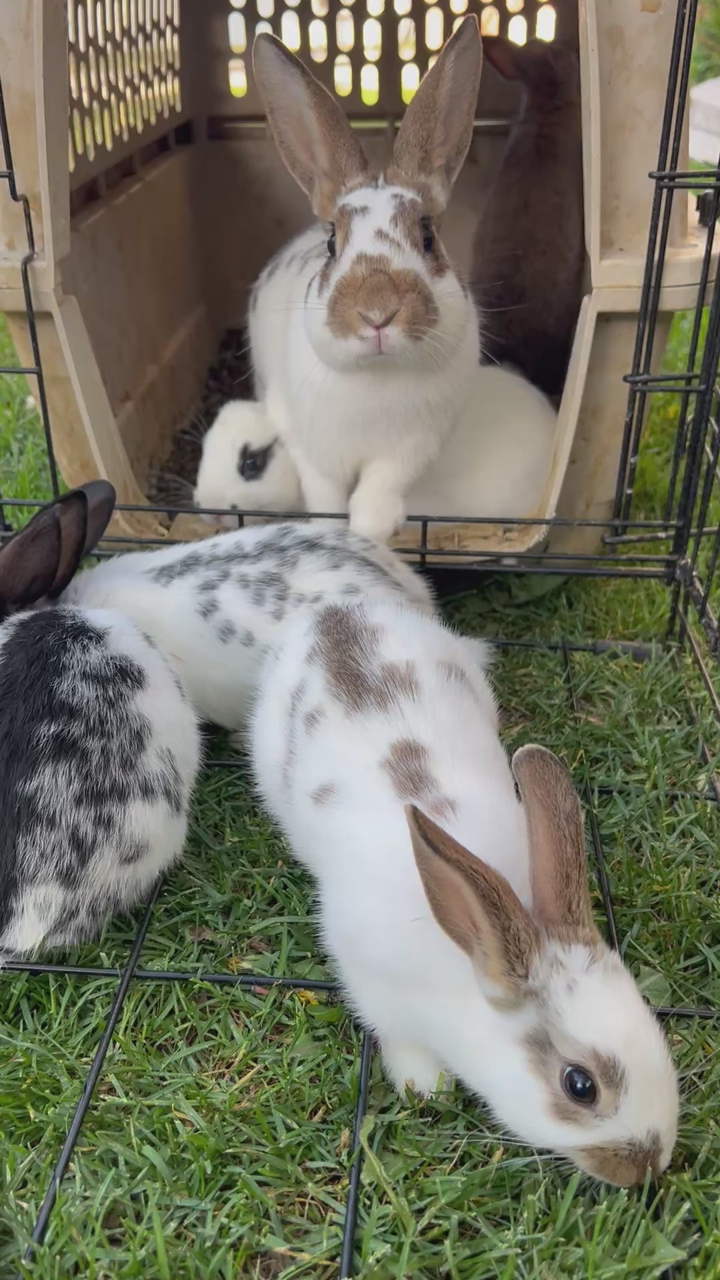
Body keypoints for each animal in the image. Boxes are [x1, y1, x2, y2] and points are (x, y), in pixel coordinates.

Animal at [249, 17, 484, 544]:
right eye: (332, 241)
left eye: (427, 236)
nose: (377, 314)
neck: (378, 377)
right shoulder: (308, 446)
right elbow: (326, 499)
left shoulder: (412, 447)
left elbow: (377, 491)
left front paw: (371, 532)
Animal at [250, 597, 679, 1185]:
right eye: (580, 1086)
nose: (649, 1167)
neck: (471, 956)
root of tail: (334, 607)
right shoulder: (371, 982)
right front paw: (425, 1087)